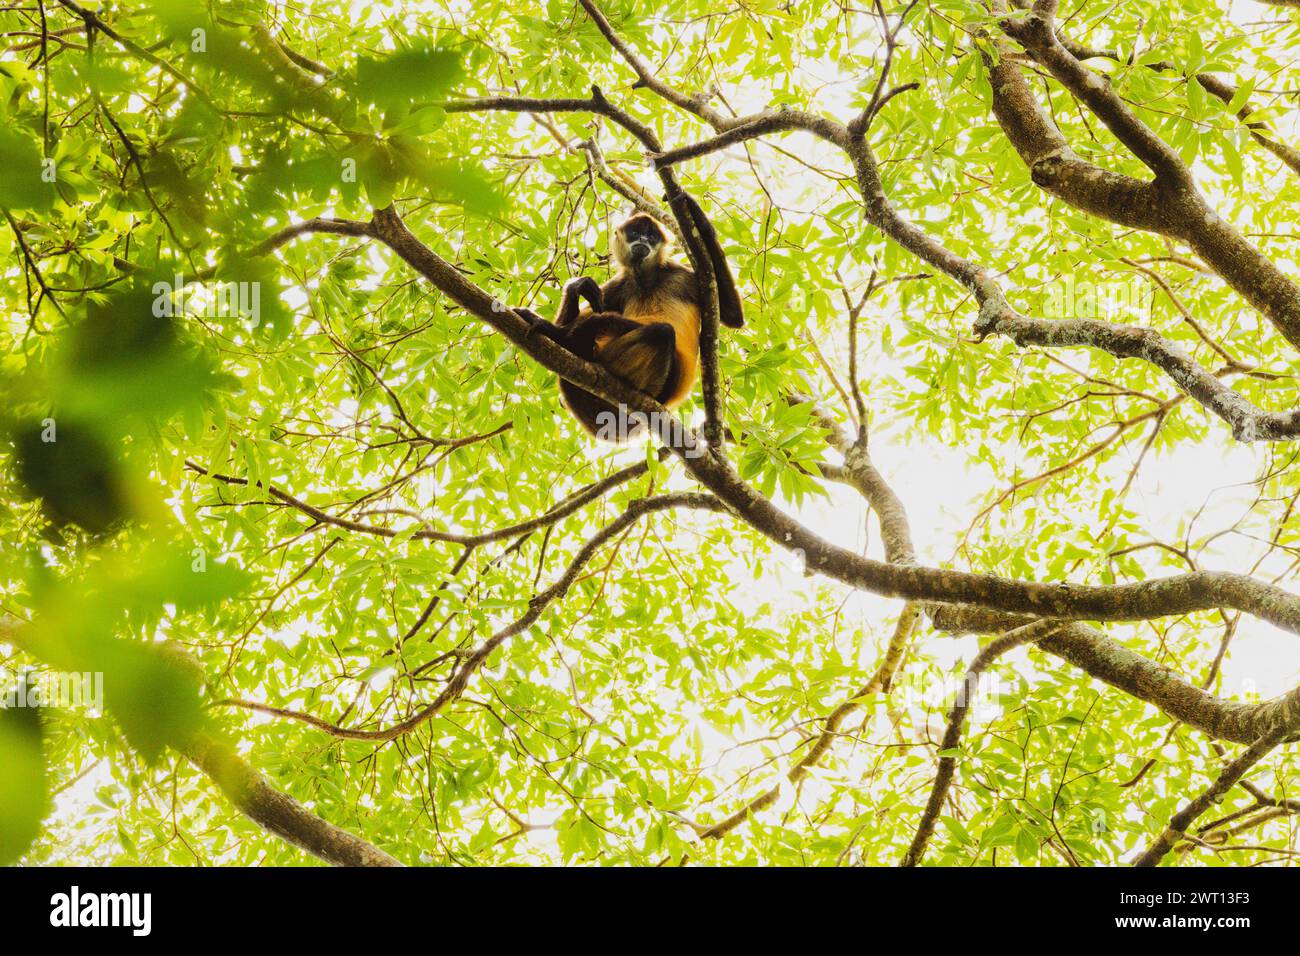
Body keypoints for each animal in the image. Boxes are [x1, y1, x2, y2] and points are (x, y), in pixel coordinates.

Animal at [514, 195, 748, 442]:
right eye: (636, 233)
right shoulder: (620, 285)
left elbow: (733, 315)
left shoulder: (682, 275)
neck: (645, 278)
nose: (644, 239)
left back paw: (565, 338)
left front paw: (689, 205)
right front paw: (576, 287)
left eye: (652, 236)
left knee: (659, 331)